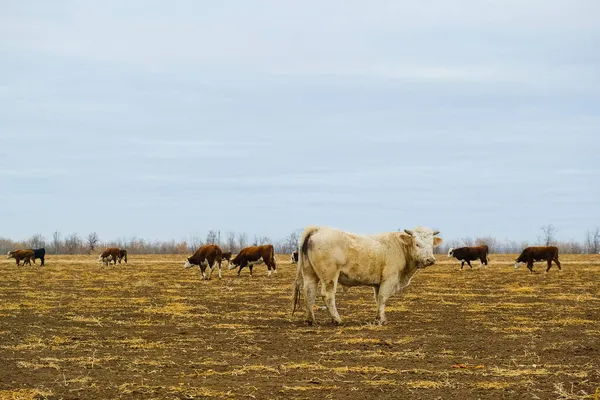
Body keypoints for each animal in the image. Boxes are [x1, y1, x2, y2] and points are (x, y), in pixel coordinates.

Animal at [292, 225, 442, 324]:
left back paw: (310, 320)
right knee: (327, 295)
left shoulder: (378, 284)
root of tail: (318, 228)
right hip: (329, 276)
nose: (430, 260)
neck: (400, 247)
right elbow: (382, 298)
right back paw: (337, 320)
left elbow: (377, 299)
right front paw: (380, 320)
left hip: (310, 273)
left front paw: (380, 318)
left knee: (309, 292)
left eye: (431, 245)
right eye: (417, 244)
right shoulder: (389, 279)